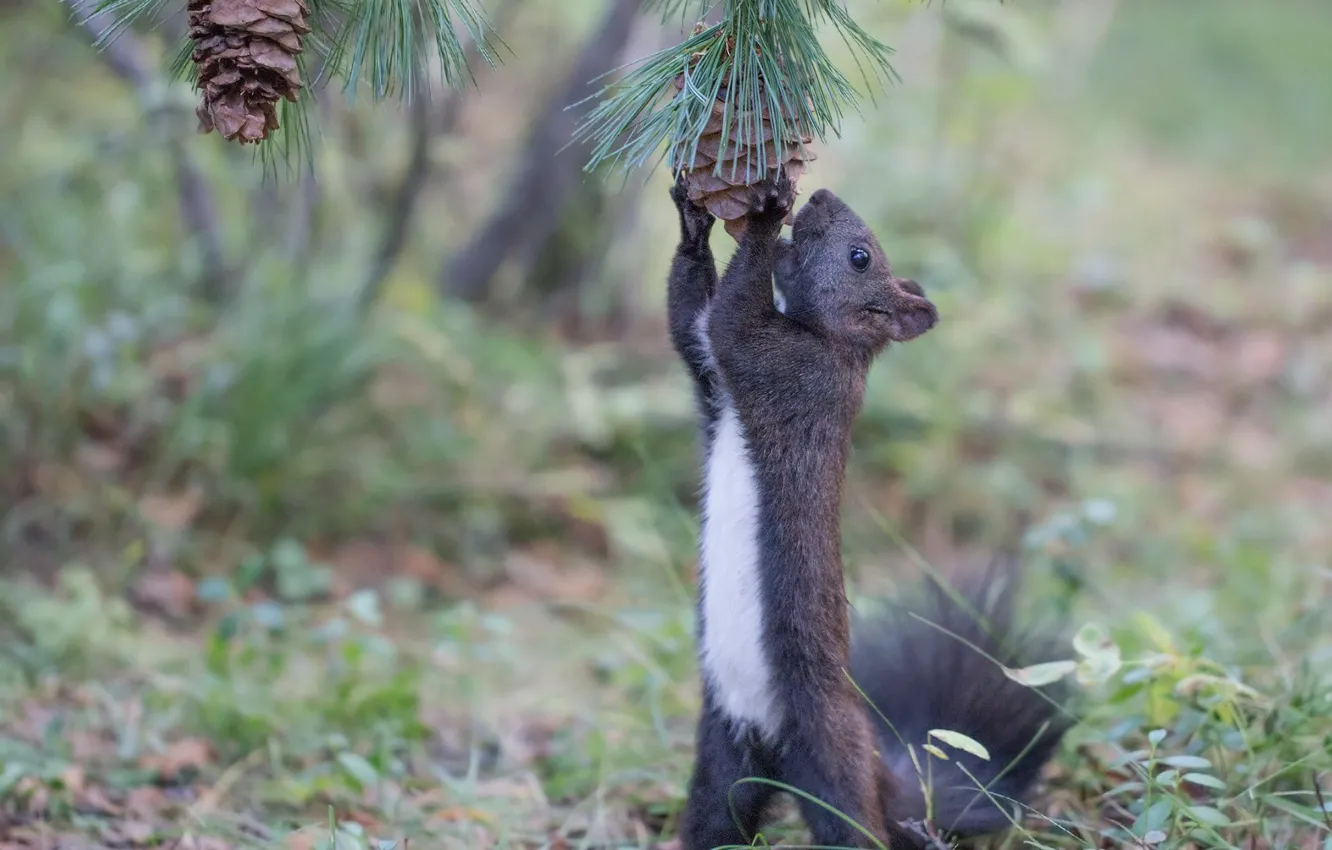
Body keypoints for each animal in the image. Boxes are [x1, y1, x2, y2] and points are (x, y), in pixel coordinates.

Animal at [666, 174, 1070, 850]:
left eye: (860, 257)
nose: (821, 196)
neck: (837, 344)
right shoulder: (713, 379)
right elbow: (687, 318)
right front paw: (693, 221)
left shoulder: (784, 368)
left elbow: (732, 317)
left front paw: (764, 217)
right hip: (725, 763)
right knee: (717, 819)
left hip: (831, 759)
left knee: (856, 828)